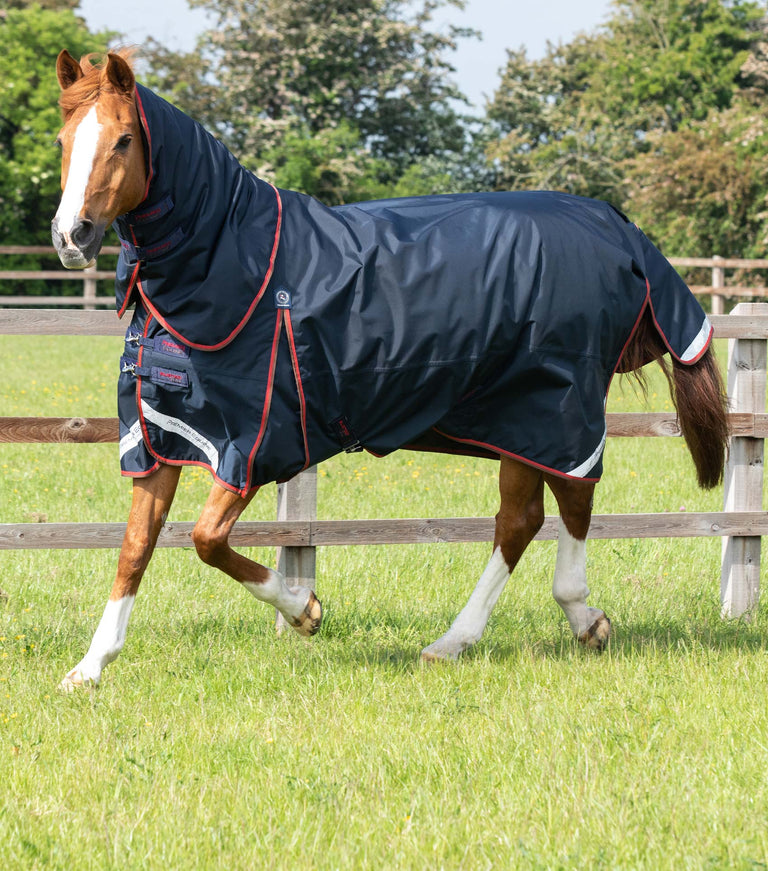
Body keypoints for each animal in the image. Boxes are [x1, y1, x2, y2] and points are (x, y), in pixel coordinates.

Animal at [51, 50, 730, 689]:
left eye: (124, 139)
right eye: (63, 140)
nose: (70, 236)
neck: (233, 263)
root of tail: (618, 228)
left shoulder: (254, 442)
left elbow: (206, 539)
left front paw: (305, 610)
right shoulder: (159, 434)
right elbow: (135, 547)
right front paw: (90, 667)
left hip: (556, 407)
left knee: (572, 498)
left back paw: (573, 620)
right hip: (514, 419)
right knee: (522, 521)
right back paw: (460, 641)